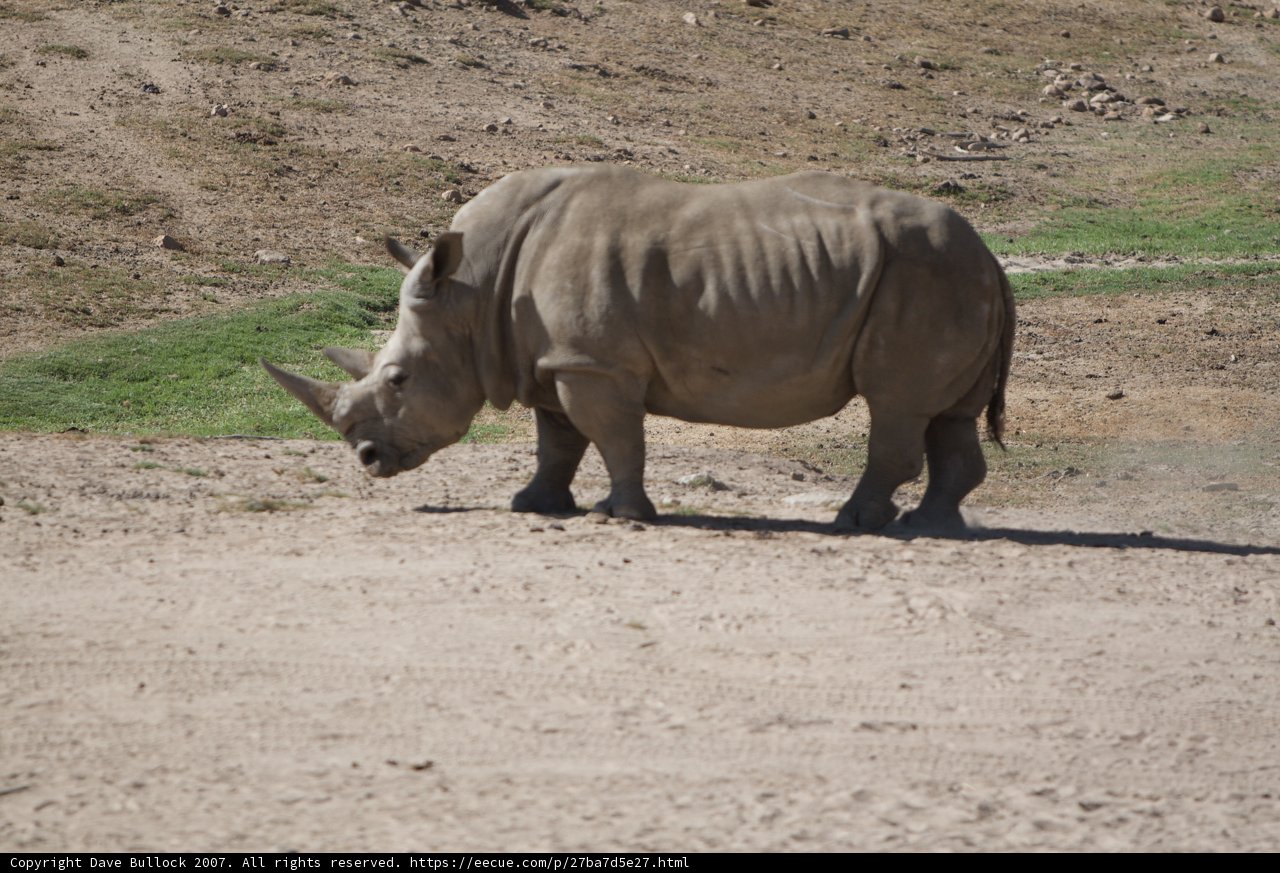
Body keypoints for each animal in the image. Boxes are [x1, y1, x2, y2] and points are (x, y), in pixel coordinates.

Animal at [263, 166, 1014, 531]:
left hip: (924, 275)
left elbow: (614, 436)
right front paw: (533, 505)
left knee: (897, 404)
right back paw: (933, 525)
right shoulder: (554, 357)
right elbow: (558, 440)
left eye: (397, 379)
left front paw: (620, 516)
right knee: (946, 414)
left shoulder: (593, 362)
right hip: (946, 274)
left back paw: (857, 522)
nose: (367, 460)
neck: (470, 294)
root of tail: (992, 256)